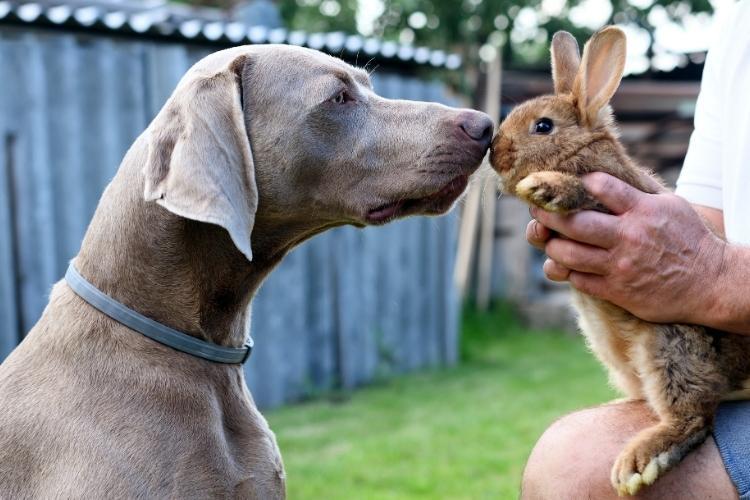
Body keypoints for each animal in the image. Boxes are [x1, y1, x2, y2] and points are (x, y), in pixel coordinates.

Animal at [488, 26, 750, 496]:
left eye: (543, 126)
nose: (494, 153)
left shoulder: (609, 196)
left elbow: (578, 191)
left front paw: (545, 186)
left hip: (672, 342)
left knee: (696, 417)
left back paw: (640, 461)